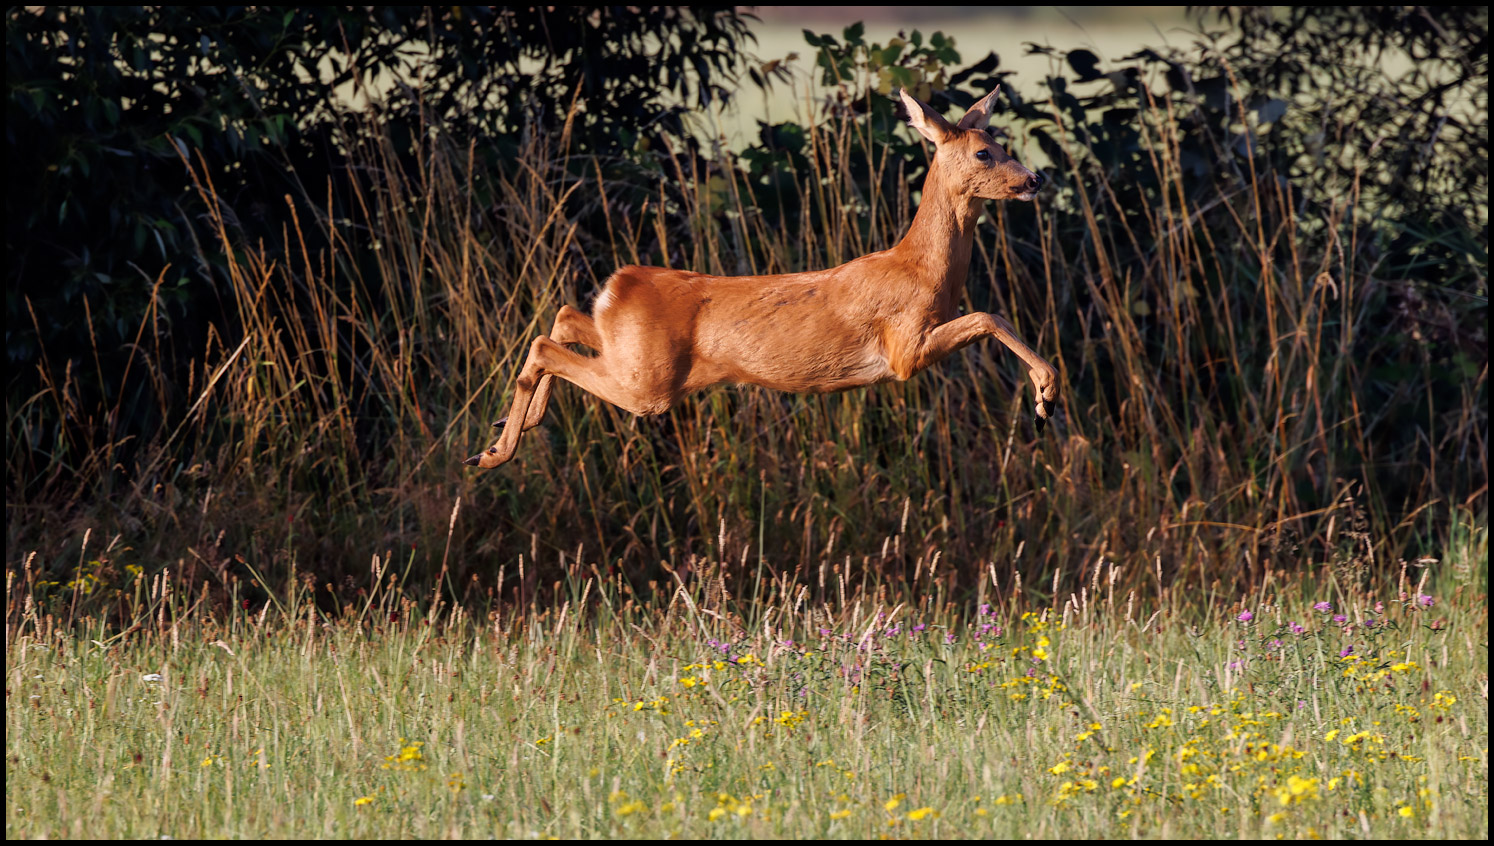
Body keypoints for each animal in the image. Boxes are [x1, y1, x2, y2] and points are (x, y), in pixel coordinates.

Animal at [460, 87, 1057, 472]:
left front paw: (1044, 399)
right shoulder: (904, 349)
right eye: (984, 152)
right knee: (545, 344)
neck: (919, 267)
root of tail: (618, 283)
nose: (1035, 179)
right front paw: (1045, 398)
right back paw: (494, 454)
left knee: (562, 318)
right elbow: (987, 315)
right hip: (647, 384)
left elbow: (990, 315)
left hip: (628, 354)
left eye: (1004, 145)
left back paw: (501, 434)